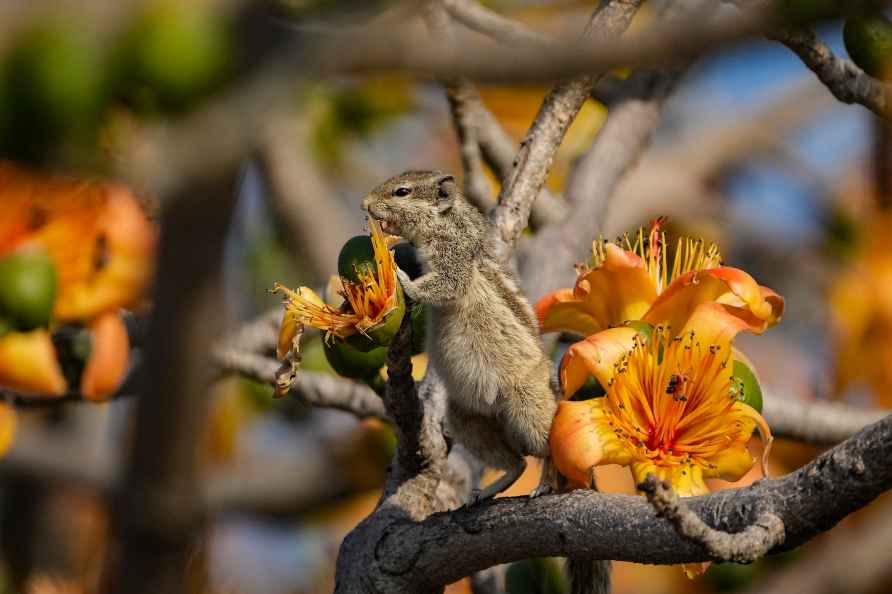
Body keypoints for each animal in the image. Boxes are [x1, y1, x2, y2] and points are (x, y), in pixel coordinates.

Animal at [362, 170, 556, 500]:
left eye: (402, 192)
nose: (365, 203)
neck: (448, 220)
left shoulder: (453, 261)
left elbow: (444, 285)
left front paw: (402, 277)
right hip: (465, 419)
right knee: (517, 462)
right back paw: (486, 492)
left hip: (528, 407)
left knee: (551, 452)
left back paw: (545, 484)